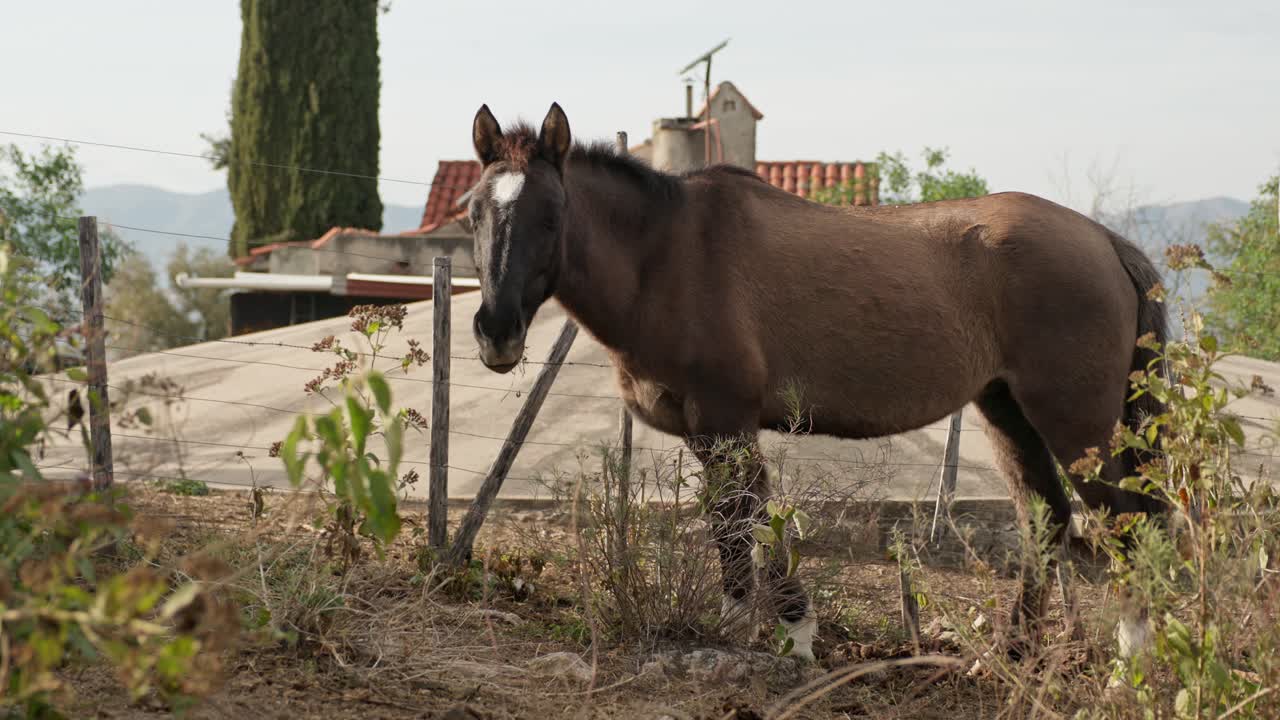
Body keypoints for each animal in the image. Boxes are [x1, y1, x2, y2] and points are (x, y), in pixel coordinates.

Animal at [464, 101, 1168, 662]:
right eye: (475, 213)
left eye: (552, 215)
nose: (496, 331)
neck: (669, 255)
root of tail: (1103, 239)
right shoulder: (706, 433)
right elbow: (728, 528)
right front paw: (739, 628)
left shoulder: (727, 422)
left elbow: (748, 518)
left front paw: (793, 632)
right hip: (1008, 413)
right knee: (1045, 521)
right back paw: (1012, 652)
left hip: (1079, 426)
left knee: (1128, 527)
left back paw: (1131, 665)